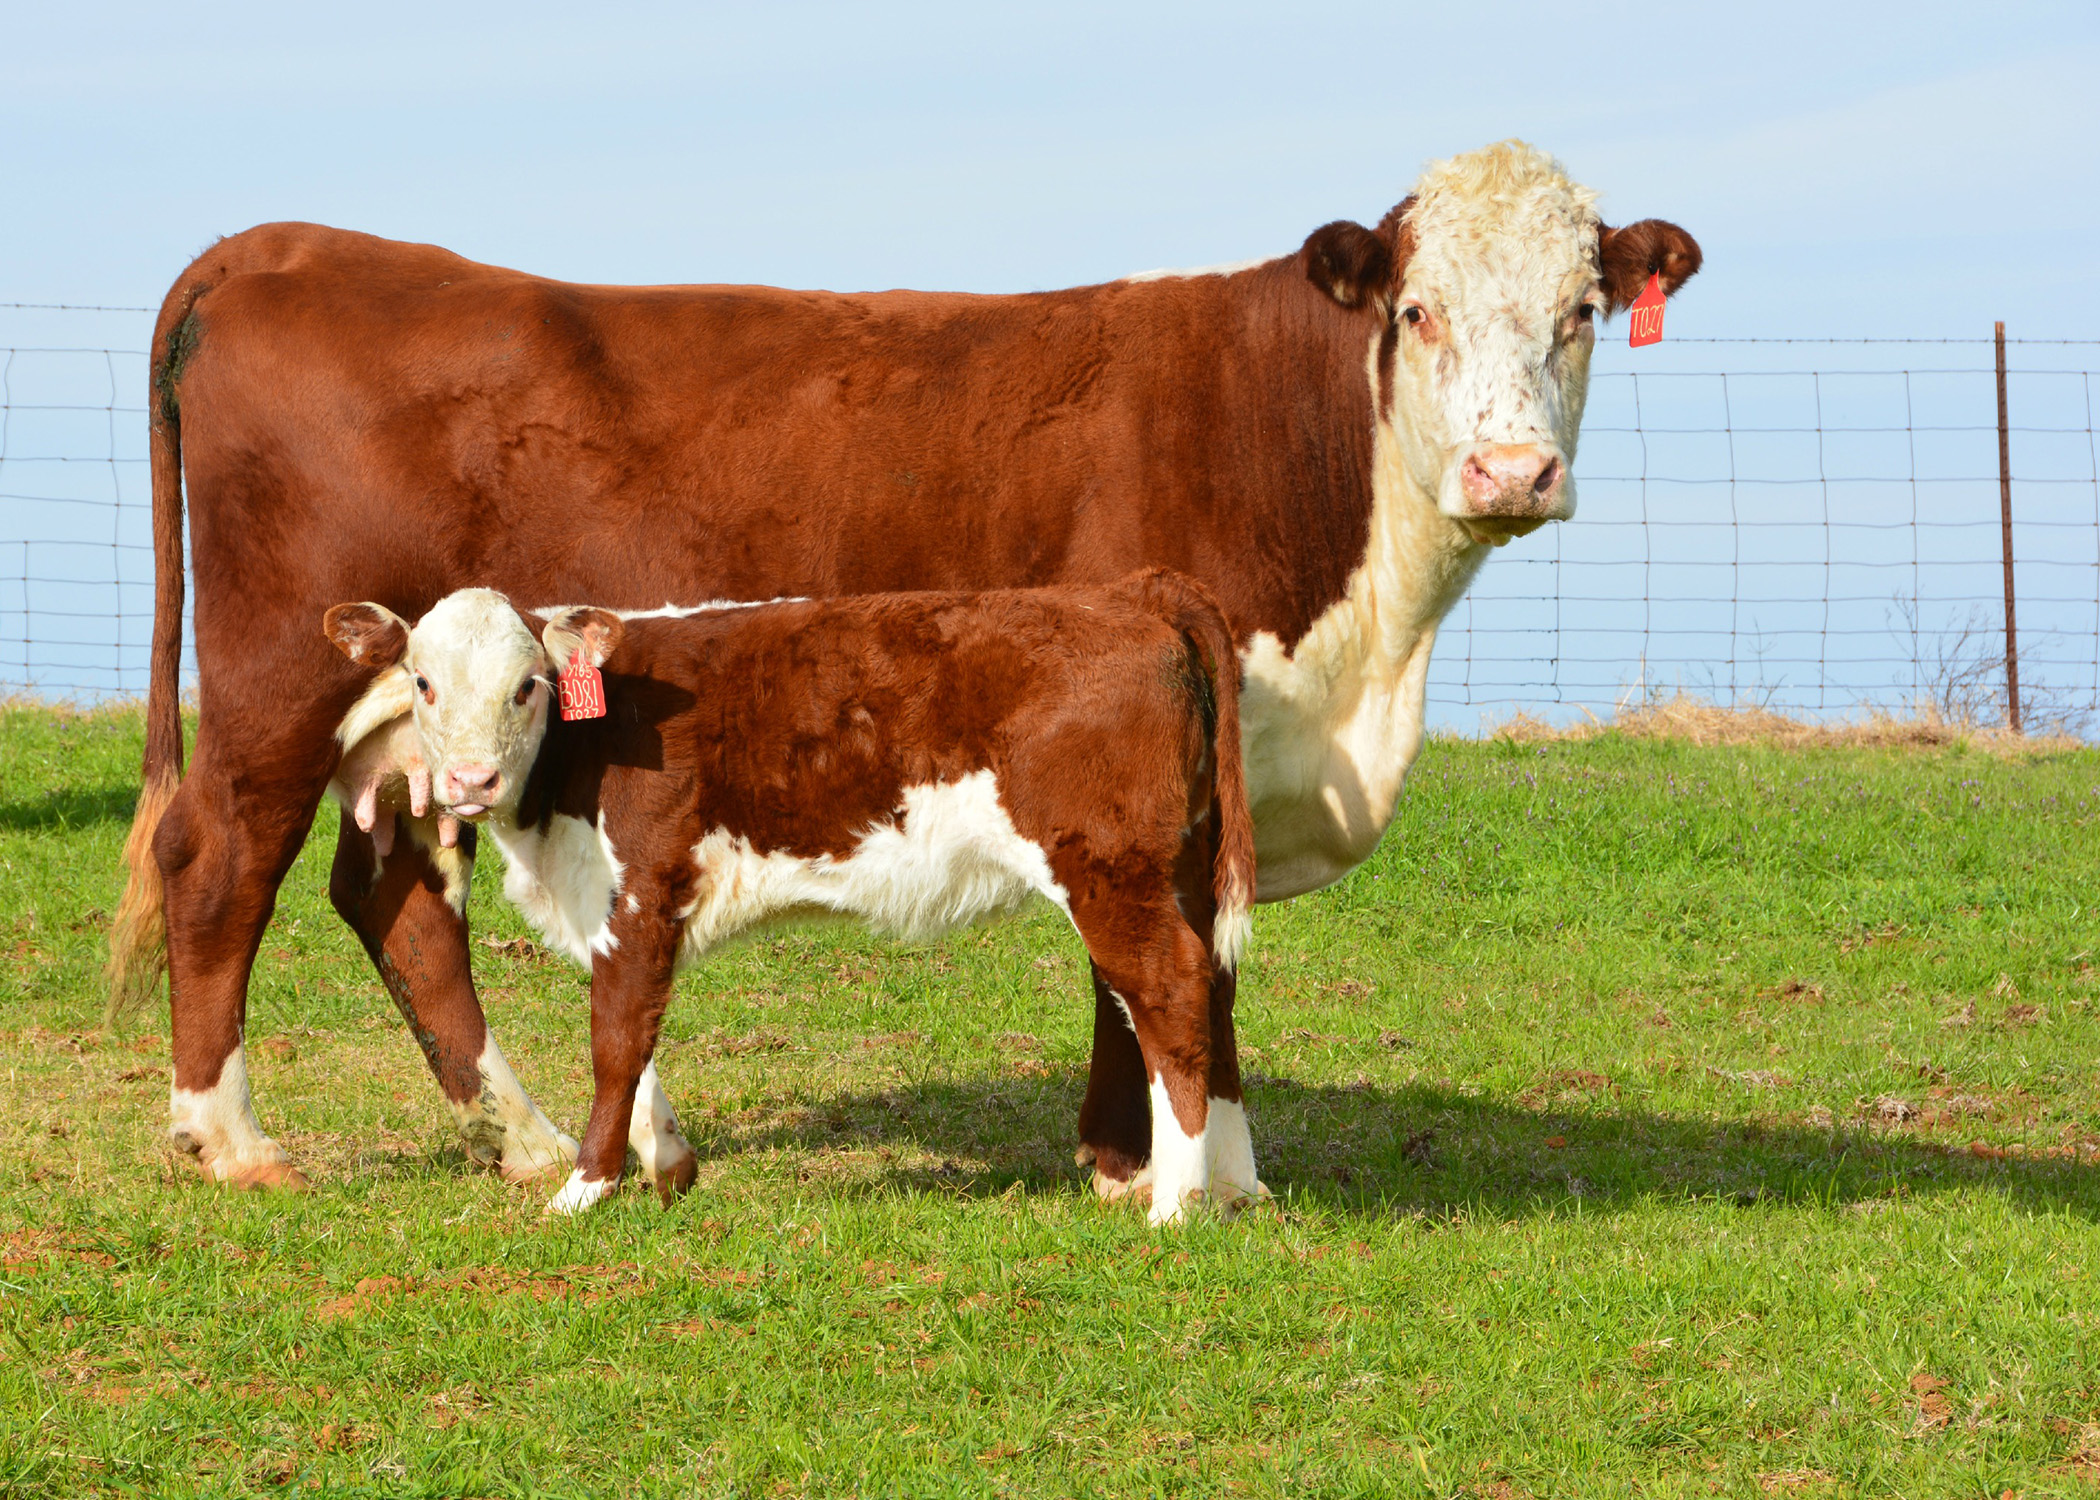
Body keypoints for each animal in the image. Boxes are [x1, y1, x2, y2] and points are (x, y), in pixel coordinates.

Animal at [327, 567, 1260, 1218]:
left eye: (527, 686)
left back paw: (1175, 1207)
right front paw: (667, 1163)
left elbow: (617, 1039)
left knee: (1171, 992)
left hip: (1112, 869)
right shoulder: (610, 906)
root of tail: (1131, 592)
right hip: (1182, 869)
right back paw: (1235, 1187)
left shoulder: (642, 888)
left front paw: (585, 1190)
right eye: (422, 683)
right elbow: (636, 1032)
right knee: (1214, 988)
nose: (469, 781)